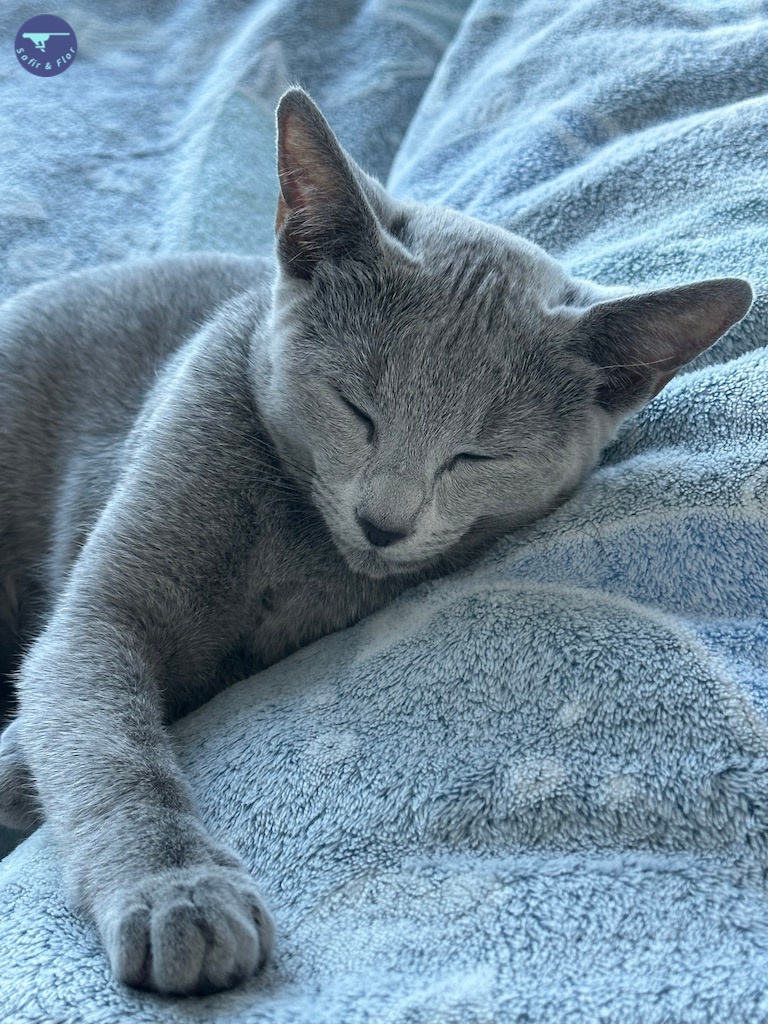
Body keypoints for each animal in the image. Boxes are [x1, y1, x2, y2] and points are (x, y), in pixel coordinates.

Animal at [0, 87, 752, 996]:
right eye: (355, 408)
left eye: (477, 456)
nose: (384, 521)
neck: (296, 543)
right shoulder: (105, 610)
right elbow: (110, 746)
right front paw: (179, 893)